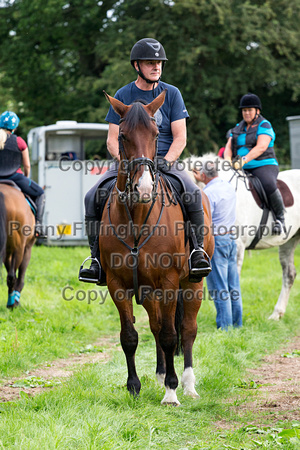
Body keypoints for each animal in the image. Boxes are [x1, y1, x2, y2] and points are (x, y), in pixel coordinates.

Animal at [99, 90, 214, 404]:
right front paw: (133, 387)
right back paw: (161, 375)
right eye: (123, 136)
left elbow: (170, 336)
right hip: (149, 291)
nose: (144, 189)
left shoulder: (169, 281)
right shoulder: (118, 284)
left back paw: (187, 384)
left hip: (192, 283)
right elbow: (130, 336)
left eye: (155, 133)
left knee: (186, 329)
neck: (138, 217)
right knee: (155, 324)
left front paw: (171, 393)